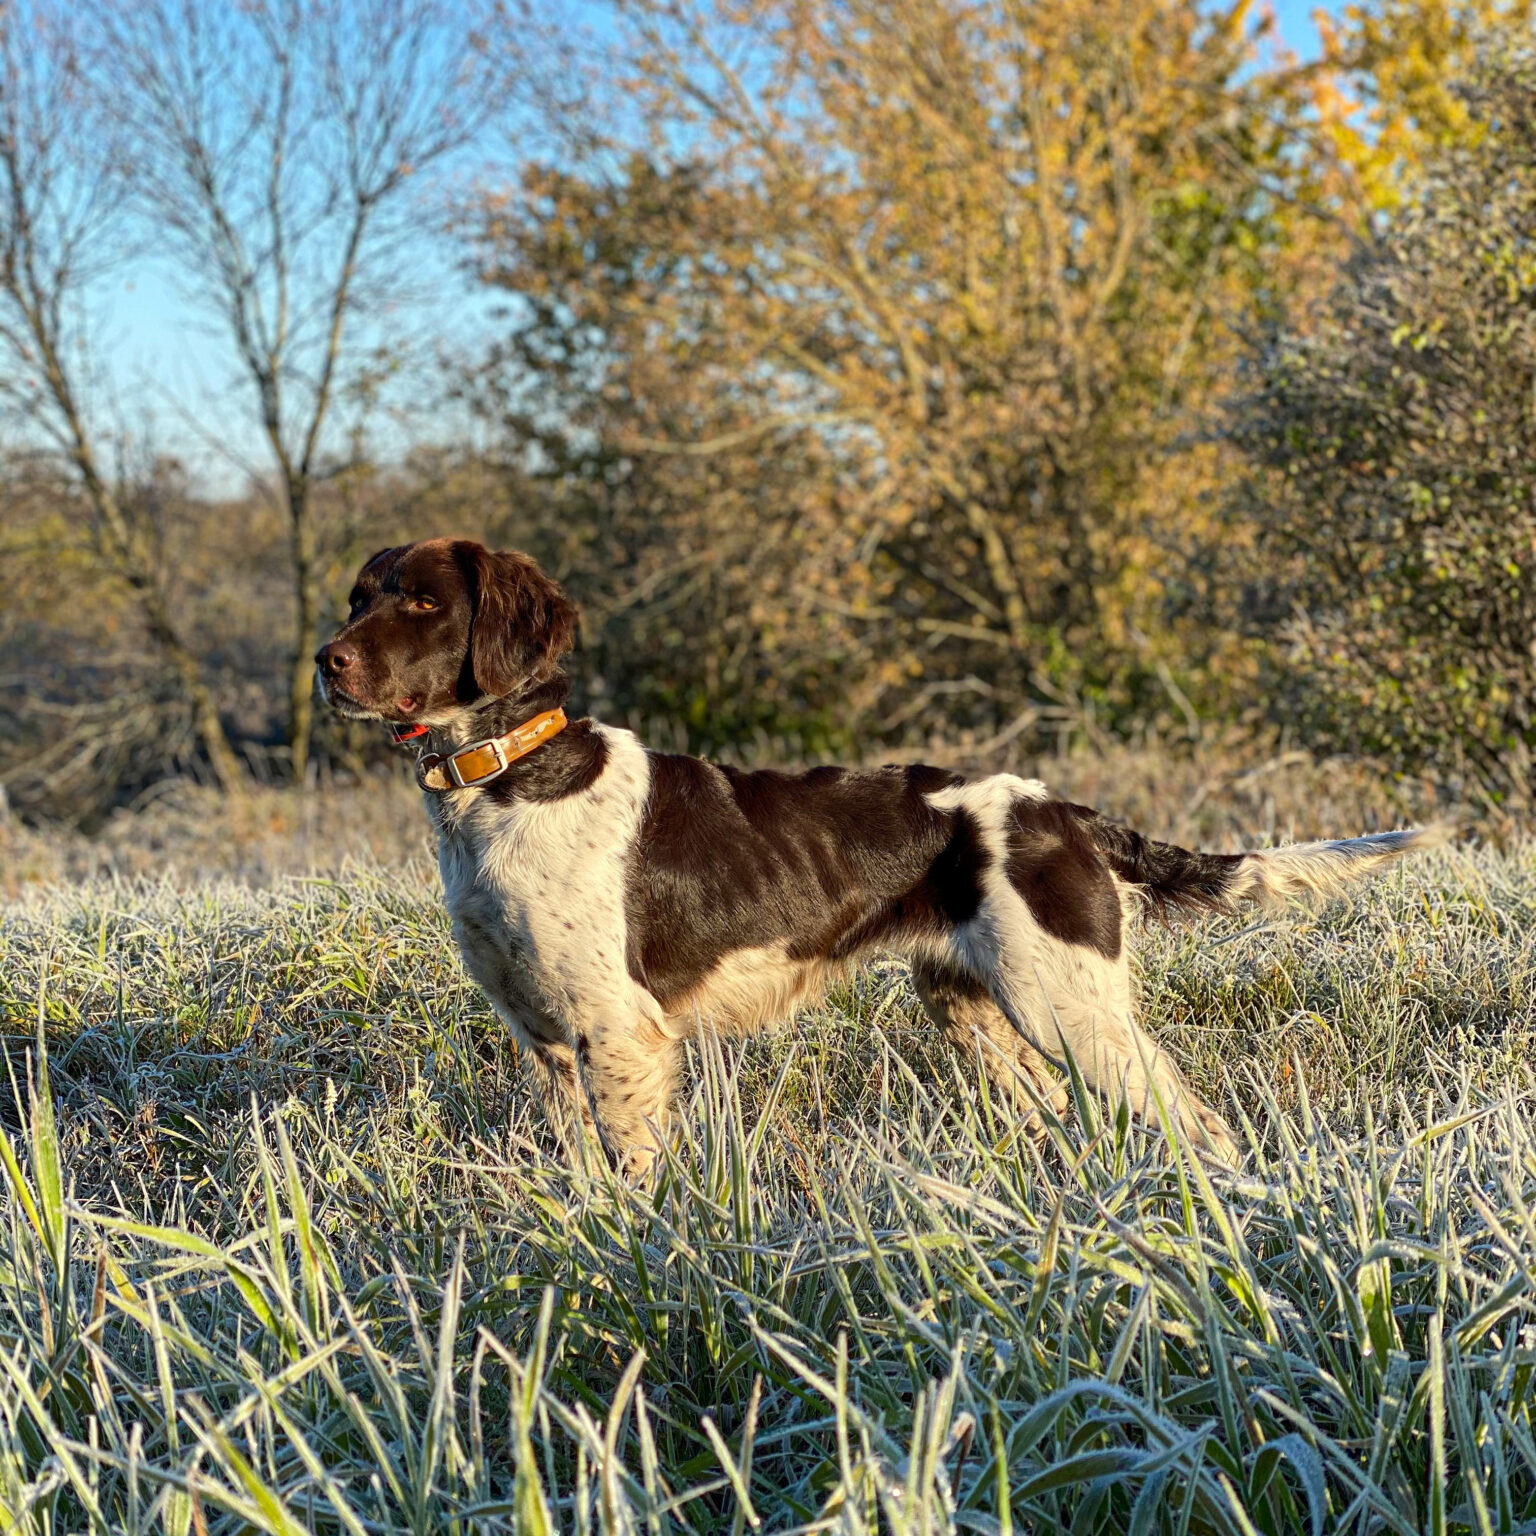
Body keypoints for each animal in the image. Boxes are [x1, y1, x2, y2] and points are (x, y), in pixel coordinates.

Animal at [317, 546, 1443, 1167]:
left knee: (1195, 1124)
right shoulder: (548, 1041)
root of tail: (1064, 811)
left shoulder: (620, 1033)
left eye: (421, 601)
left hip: (1071, 1009)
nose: (326, 662)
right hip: (978, 1014)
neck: (502, 781)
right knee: (1062, 1122)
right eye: (357, 597)